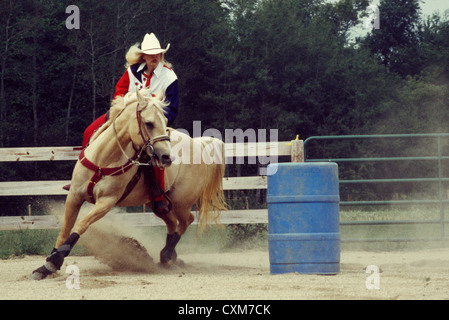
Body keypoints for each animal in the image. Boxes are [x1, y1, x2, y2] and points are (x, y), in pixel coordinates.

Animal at [31, 89, 226, 278]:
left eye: (164, 121)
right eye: (149, 123)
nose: (166, 157)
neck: (103, 160)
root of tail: (199, 145)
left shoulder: (106, 202)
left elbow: (81, 225)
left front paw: (54, 261)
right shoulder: (74, 196)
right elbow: (65, 229)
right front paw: (46, 265)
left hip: (181, 202)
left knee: (186, 221)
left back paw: (166, 255)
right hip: (158, 204)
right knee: (172, 223)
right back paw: (171, 257)